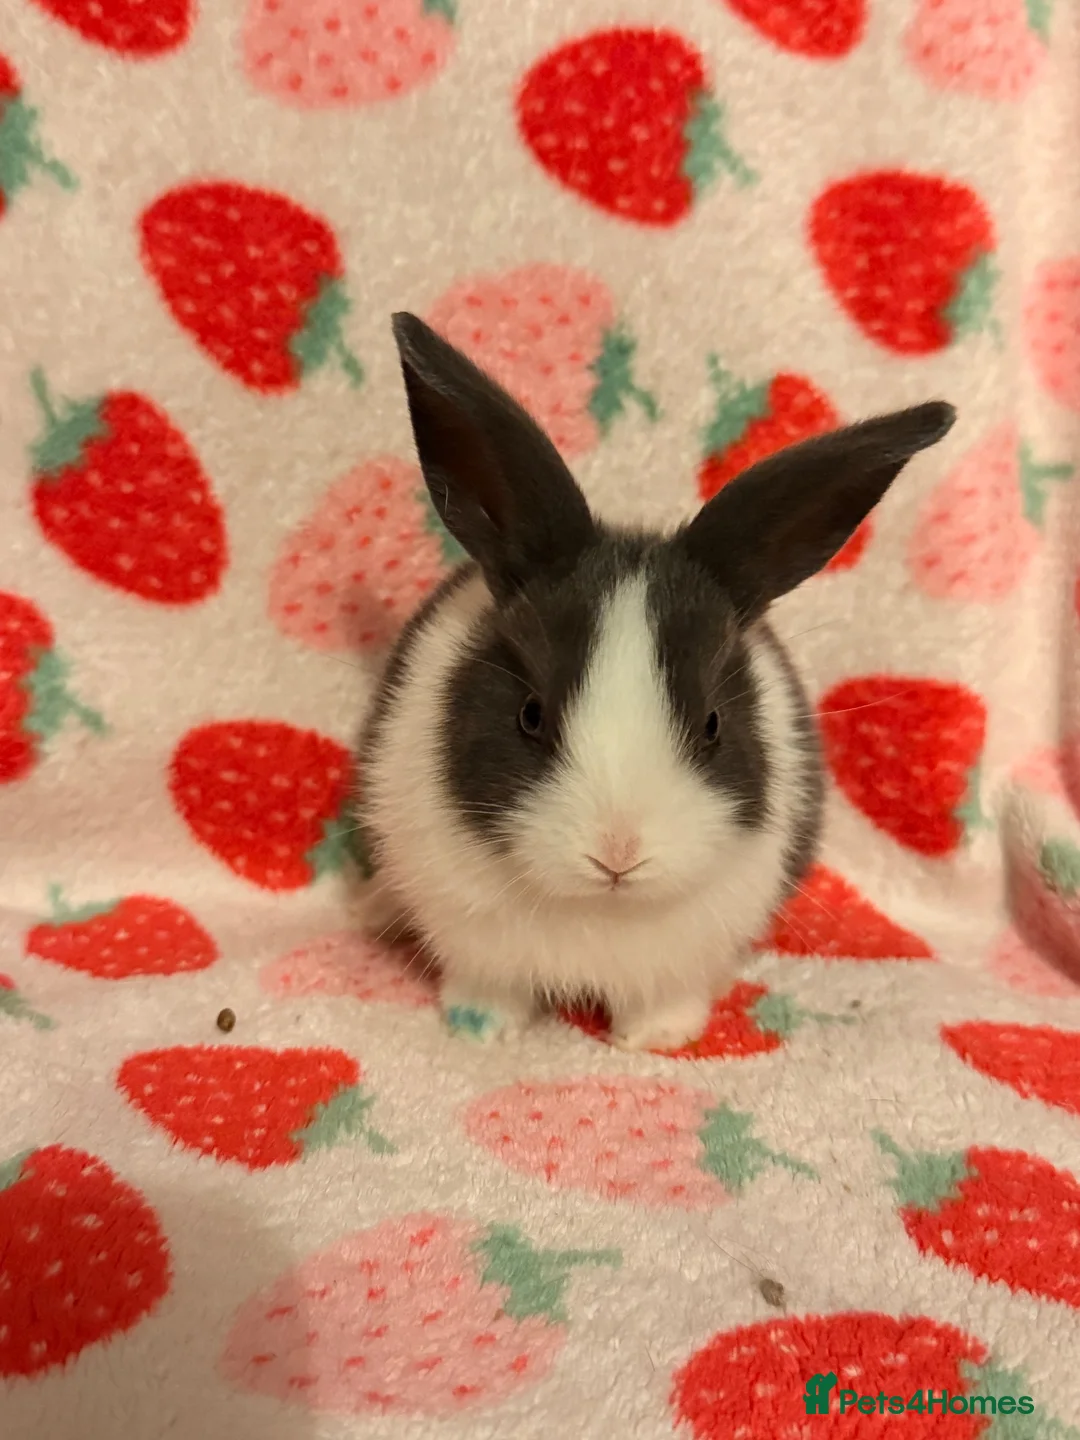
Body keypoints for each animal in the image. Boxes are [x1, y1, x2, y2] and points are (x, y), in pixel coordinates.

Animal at [355, 312, 956, 1050]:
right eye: (529, 714)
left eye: (712, 725)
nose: (618, 854)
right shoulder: (474, 940)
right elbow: (489, 987)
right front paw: (481, 1029)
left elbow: (661, 1001)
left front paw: (655, 1041)